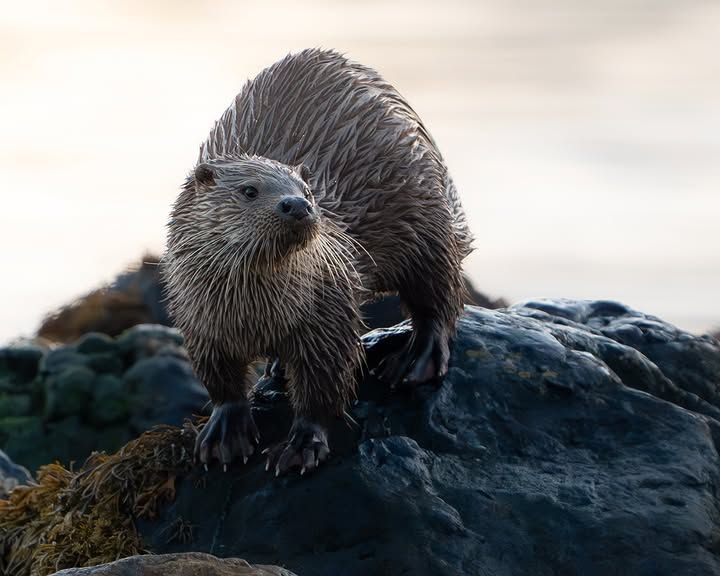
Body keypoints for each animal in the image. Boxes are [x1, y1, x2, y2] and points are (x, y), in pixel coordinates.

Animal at [166, 48, 476, 472]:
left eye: (307, 190)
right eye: (249, 190)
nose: (297, 205)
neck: (255, 313)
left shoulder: (329, 311)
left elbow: (324, 384)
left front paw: (301, 444)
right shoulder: (199, 320)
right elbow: (221, 382)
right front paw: (225, 432)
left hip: (427, 219)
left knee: (439, 293)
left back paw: (415, 360)